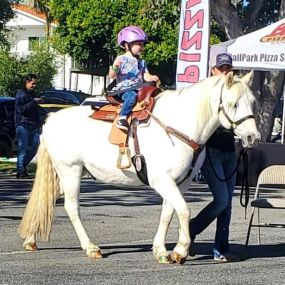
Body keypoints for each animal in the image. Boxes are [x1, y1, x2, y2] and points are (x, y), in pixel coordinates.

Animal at [17, 72, 260, 262]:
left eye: (253, 102)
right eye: (233, 103)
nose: (253, 137)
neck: (178, 126)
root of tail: (51, 119)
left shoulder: (178, 183)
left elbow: (167, 213)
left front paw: (161, 251)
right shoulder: (162, 180)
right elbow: (183, 210)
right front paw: (180, 251)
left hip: (65, 175)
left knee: (46, 198)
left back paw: (30, 240)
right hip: (71, 171)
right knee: (71, 207)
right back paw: (91, 247)